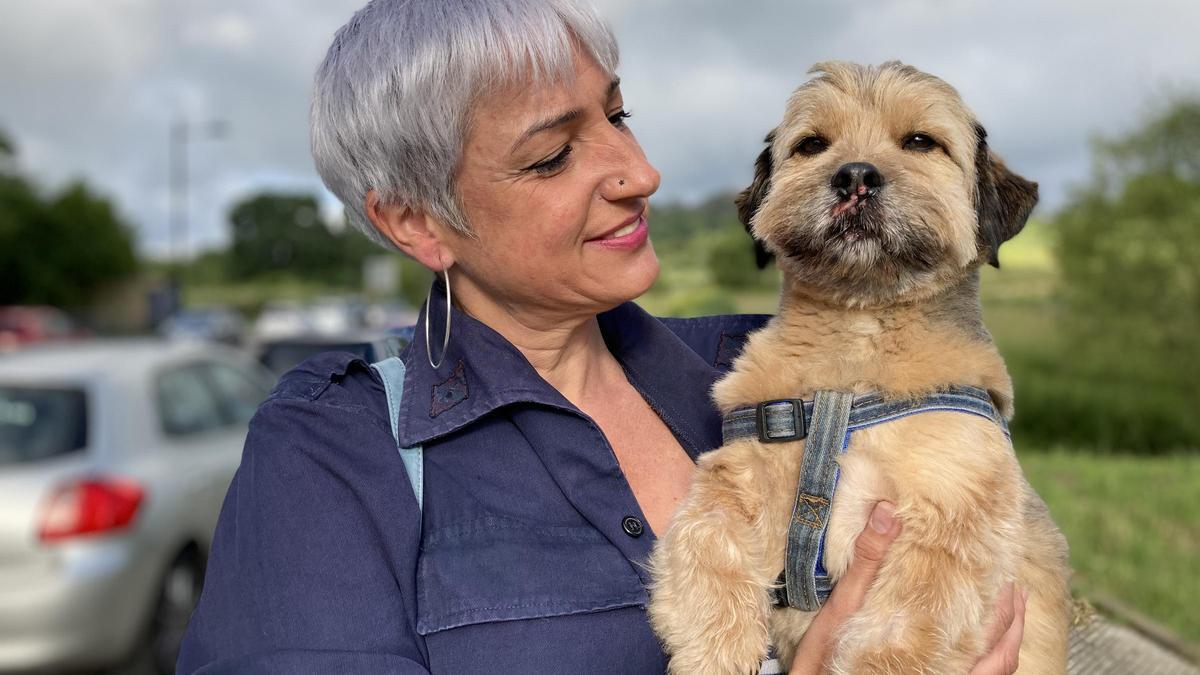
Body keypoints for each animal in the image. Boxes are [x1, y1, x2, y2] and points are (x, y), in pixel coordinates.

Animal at [652, 60, 1075, 667]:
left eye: (921, 142)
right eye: (812, 144)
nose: (854, 176)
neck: (855, 353)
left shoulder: (948, 520)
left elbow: (898, 637)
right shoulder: (738, 470)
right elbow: (705, 539)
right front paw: (716, 652)